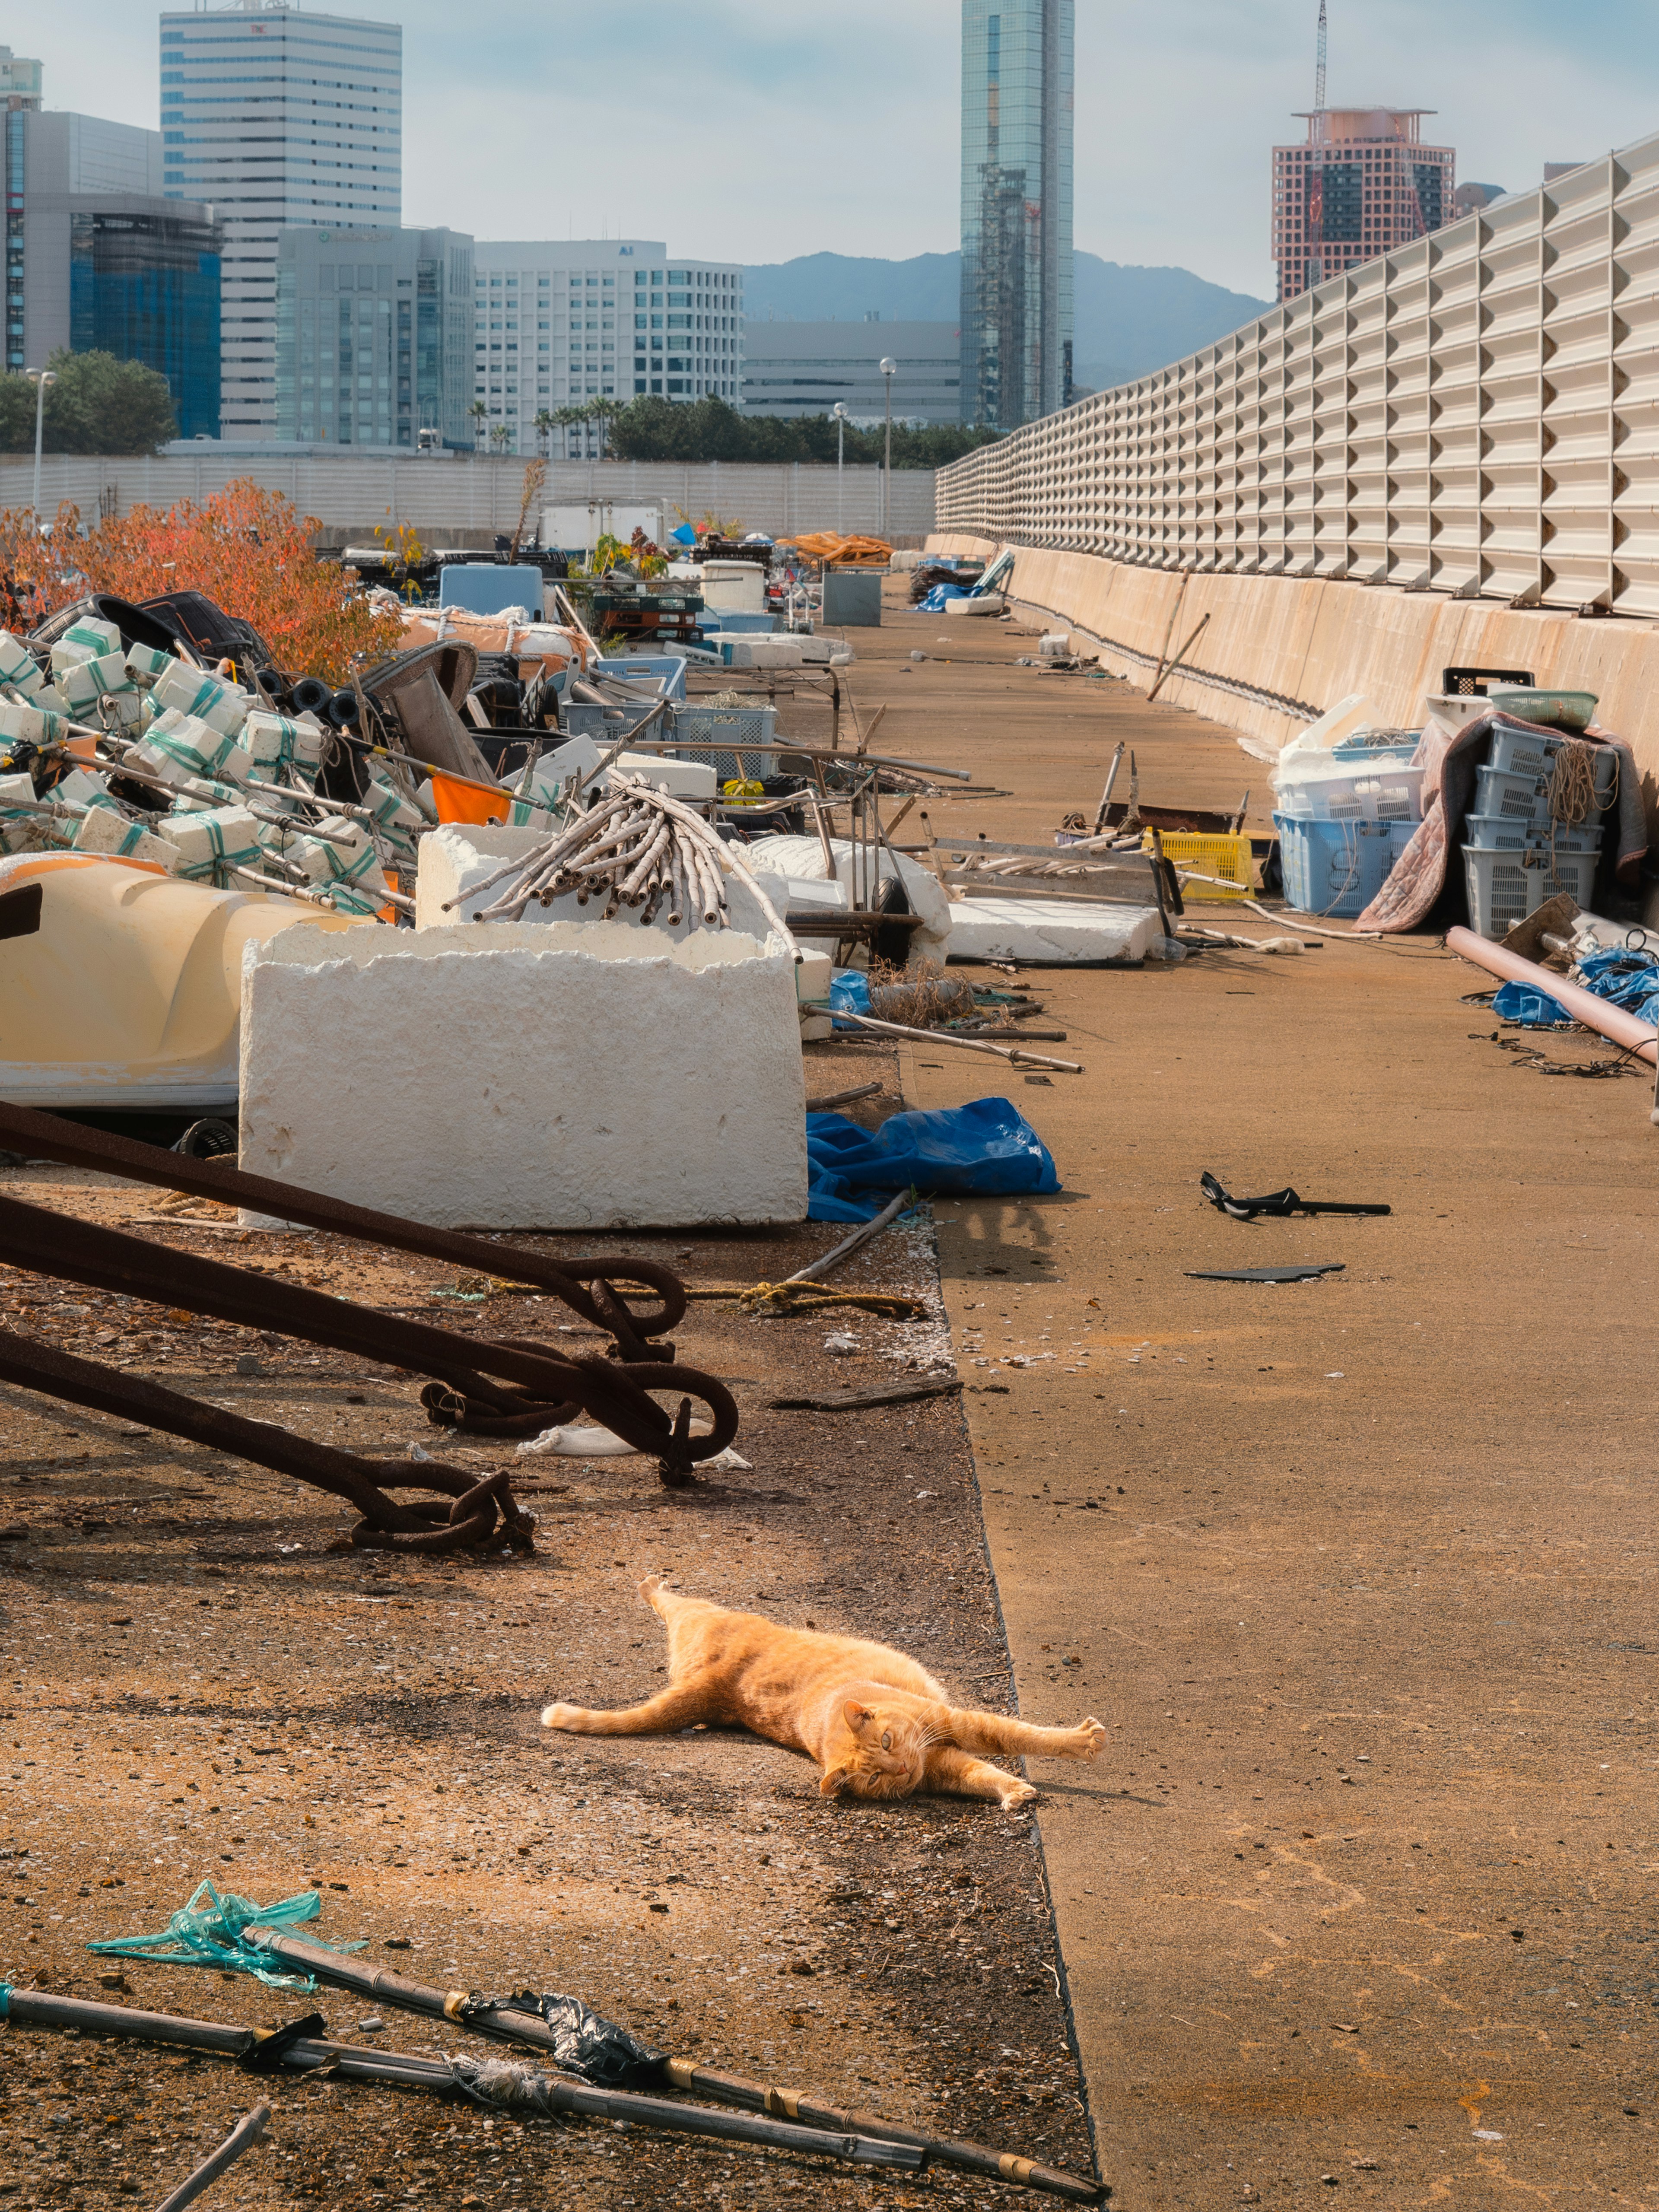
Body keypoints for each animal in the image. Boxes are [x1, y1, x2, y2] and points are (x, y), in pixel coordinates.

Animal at [546, 1583, 1110, 1805]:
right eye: (874, 1778)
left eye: (887, 1741)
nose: (902, 1769)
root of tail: (717, 1686)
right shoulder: (943, 1759)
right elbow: (991, 1763)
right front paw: (1023, 1785)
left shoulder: (953, 1725)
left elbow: (1018, 1738)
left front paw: (1073, 1746)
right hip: (695, 1629)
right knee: (669, 1600)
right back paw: (650, 1584)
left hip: (698, 1623)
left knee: (669, 1601)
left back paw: (649, 1584)